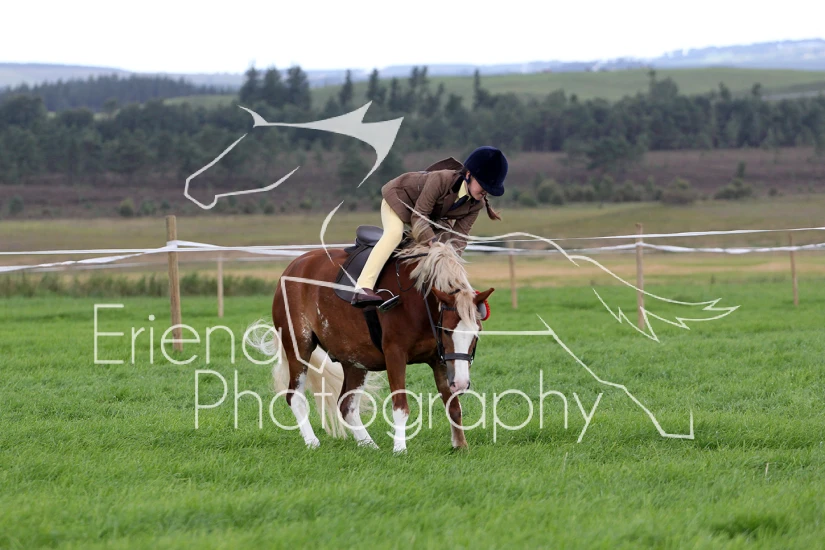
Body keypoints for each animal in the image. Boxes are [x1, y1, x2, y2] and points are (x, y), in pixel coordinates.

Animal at [245, 237, 494, 453]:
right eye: (447, 331)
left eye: (477, 333)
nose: (462, 383)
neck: (419, 303)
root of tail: (293, 267)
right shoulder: (395, 355)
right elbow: (400, 406)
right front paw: (400, 449)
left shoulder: (440, 360)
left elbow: (453, 405)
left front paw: (460, 445)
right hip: (299, 348)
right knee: (295, 397)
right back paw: (312, 442)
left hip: (356, 360)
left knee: (346, 405)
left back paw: (369, 445)